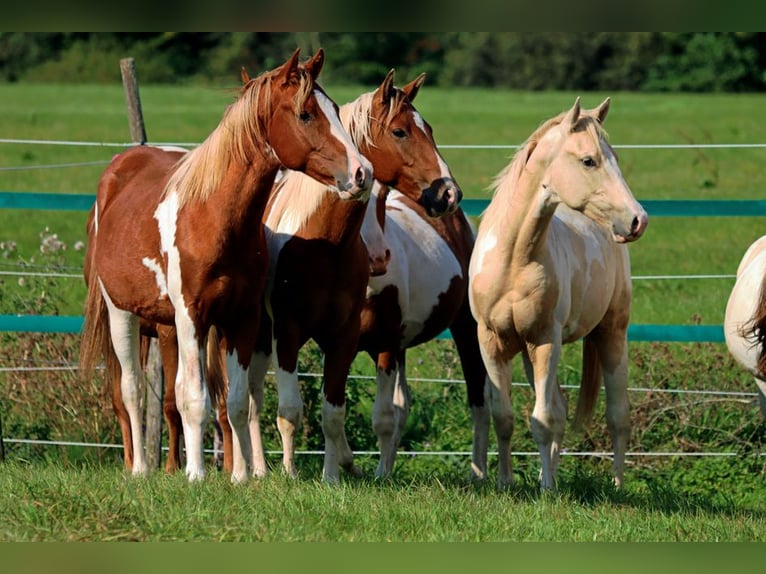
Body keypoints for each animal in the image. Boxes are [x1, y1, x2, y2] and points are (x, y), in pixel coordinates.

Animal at [79, 48, 374, 486]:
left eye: (336, 110)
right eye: (305, 114)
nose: (361, 173)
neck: (213, 217)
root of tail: (118, 169)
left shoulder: (242, 319)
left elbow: (235, 402)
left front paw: (240, 478)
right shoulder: (190, 317)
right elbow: (193, 398)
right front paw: (196, 475)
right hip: (122, 314)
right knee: (131, 390)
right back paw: (141, 469)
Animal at [468, 98, 648, 490]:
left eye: (614, 157)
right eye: (589, 160)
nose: (638, 220)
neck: (513, 260)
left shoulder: (545, 340)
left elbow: (543, 419)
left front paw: (547, 489)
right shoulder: (492, 342)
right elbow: (505, 416)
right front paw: (505, 482)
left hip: (611, 333)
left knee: (617, 416)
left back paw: (617, 487)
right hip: (526, 352)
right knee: (562, 407)